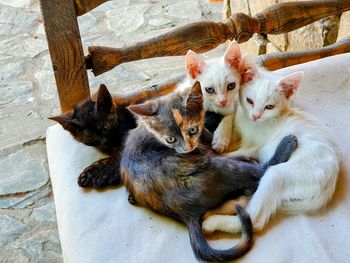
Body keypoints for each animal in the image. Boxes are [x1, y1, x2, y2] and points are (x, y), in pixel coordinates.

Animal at [202, 59, 340, 233]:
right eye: (250, 101)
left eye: (269, 107)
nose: (255, 116)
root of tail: (330, 183)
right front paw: (220, 137)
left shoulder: (253, 146)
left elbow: (229, 154)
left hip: (278, 174)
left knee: (254, 219)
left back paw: (214, 221)